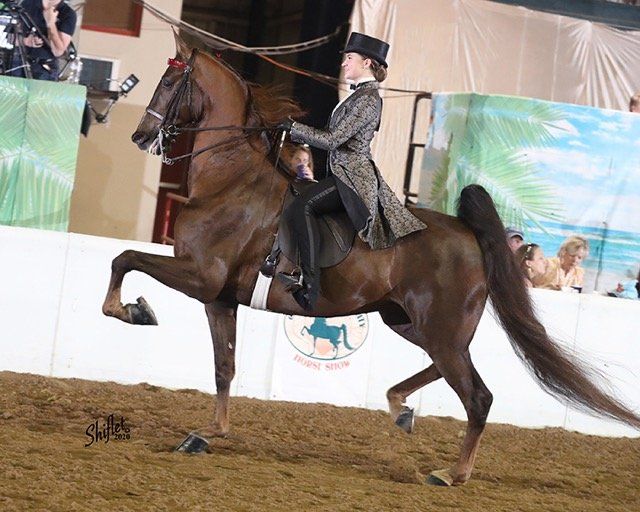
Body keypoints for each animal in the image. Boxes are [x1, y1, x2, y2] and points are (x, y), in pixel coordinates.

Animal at [102, 33, 640, 486]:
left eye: (168, 81)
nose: (140, 135)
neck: (228, 182)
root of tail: (469, 234)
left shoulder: (201, 277)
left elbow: (124, 258)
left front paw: (134, 311)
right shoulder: (220, 298)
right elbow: (223, 367)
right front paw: (207, 433)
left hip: (438, 328)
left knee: (477, 394)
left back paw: (452, 474)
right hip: (407, 320)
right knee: (450, 372)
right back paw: (401, 408)